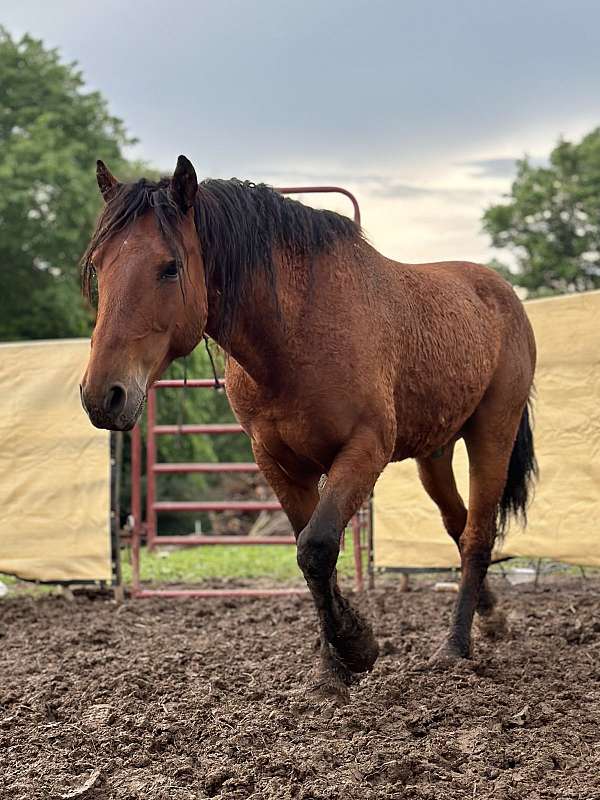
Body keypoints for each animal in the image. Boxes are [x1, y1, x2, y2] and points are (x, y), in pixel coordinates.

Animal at [80, 155, 537, 702]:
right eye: (98, 265)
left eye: (169, 267)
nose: (103, 395)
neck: (295, 332)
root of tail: (501, 291)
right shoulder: (278, 463)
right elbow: (311, 552)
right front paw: (332, 666)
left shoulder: (364, 451)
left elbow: (316, 548)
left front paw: (357, 648)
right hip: (435, 453)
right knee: (459, 523)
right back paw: (491, 619)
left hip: (492, 433)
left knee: (477, 534)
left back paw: (455, 647)